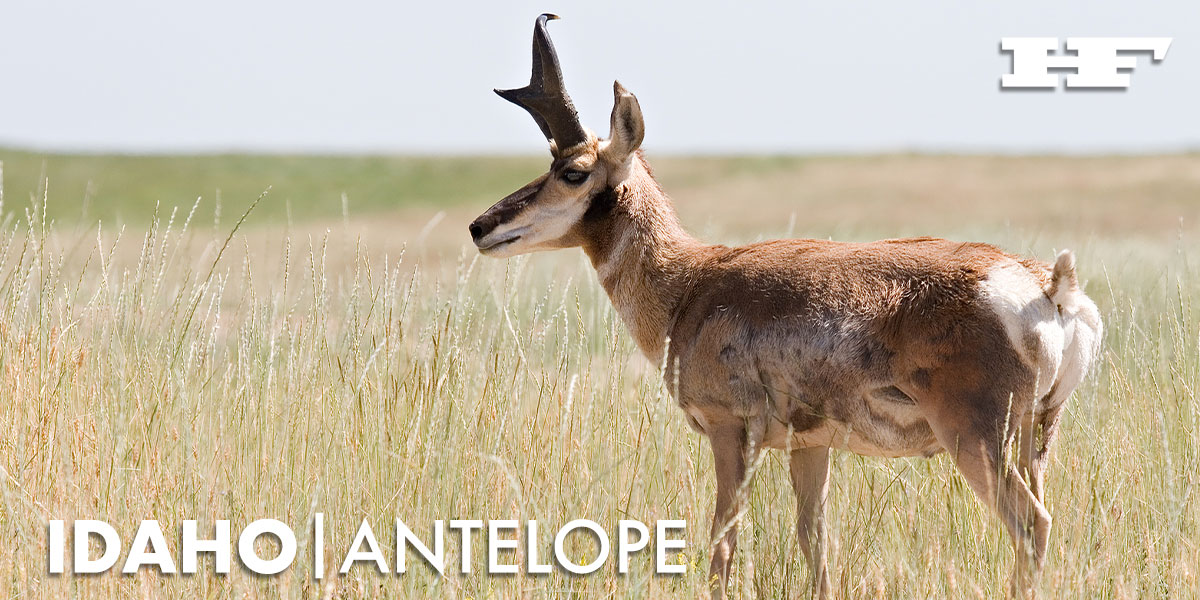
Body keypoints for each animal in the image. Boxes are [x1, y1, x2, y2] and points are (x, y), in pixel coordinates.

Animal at [469, 14, 1103, 598]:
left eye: (572, 171)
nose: (480, 226)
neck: (693, 282)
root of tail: (1050, 287)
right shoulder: (812, 446)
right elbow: (814, 540)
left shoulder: (730, 431)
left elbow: (722, 540)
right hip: (1035, 439)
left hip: (975, 439)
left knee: (1031, 524)